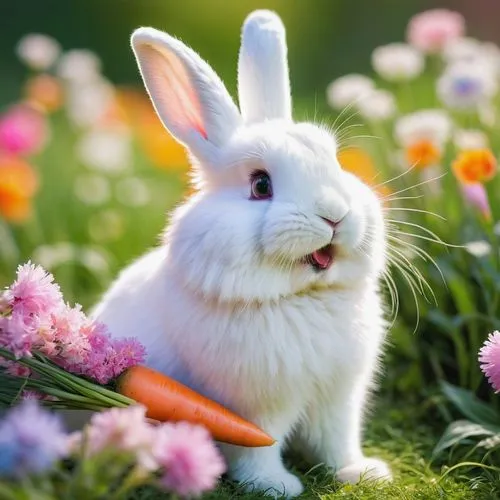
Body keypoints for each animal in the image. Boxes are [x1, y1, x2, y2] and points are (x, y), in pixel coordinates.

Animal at [93, 9, 390, 498]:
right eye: (261, 185)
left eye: (335, 164)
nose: (335, 214)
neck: (299, 297)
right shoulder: (254, 405)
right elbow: (258, 446)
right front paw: (276, 486)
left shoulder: (338, 396)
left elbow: (336, 441)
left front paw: (362, 472)